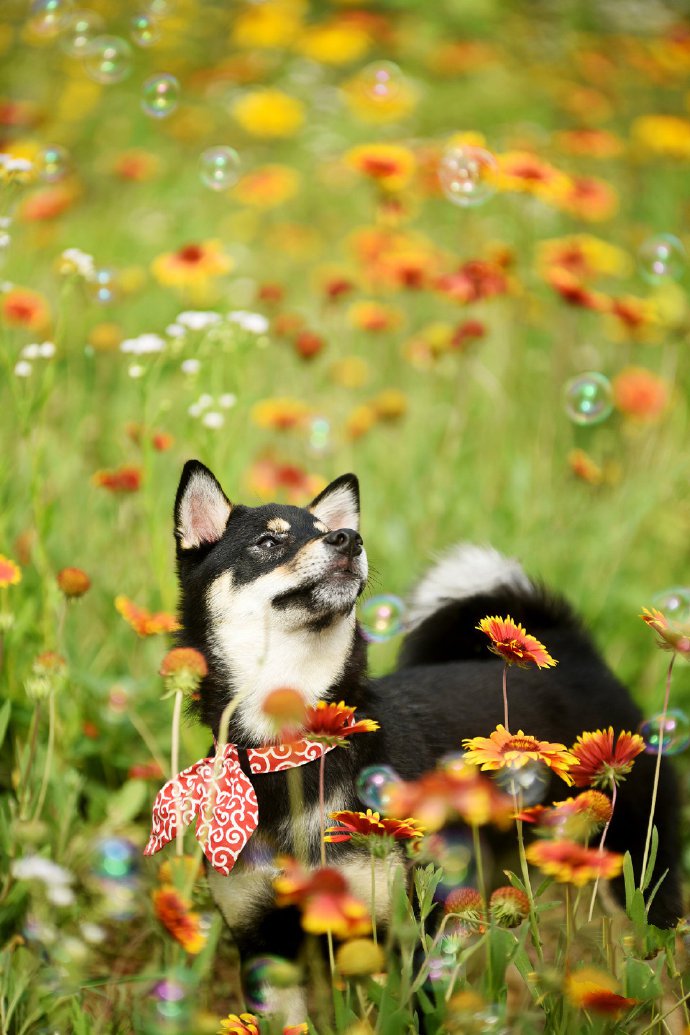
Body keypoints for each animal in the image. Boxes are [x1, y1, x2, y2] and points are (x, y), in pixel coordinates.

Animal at [165, 461, 678, 1018]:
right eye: (267, 542)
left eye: (327, 531)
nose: (349, 539)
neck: (296, 753)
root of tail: (578, 657)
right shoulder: (264, 947)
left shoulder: (412, 936)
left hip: (641, 871)